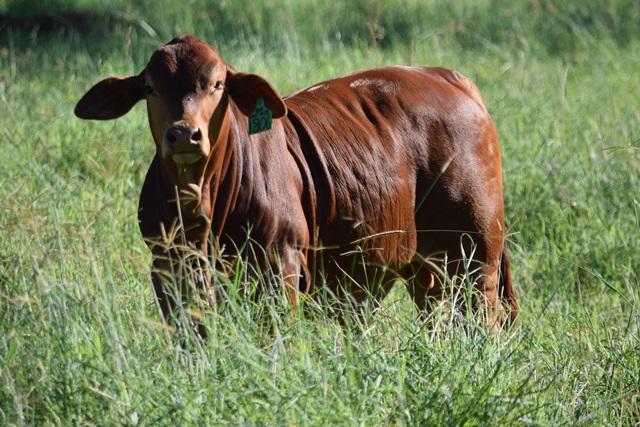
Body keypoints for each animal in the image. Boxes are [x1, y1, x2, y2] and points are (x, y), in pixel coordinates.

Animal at [75, 35, 518, 333]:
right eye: (149, 88)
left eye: (217, 84)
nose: (185, 134)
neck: (202, 208)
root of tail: (448, 76)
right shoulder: (167, 269)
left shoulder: (279, 263)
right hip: (425, 266)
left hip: (477, 252)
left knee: (484, 322)